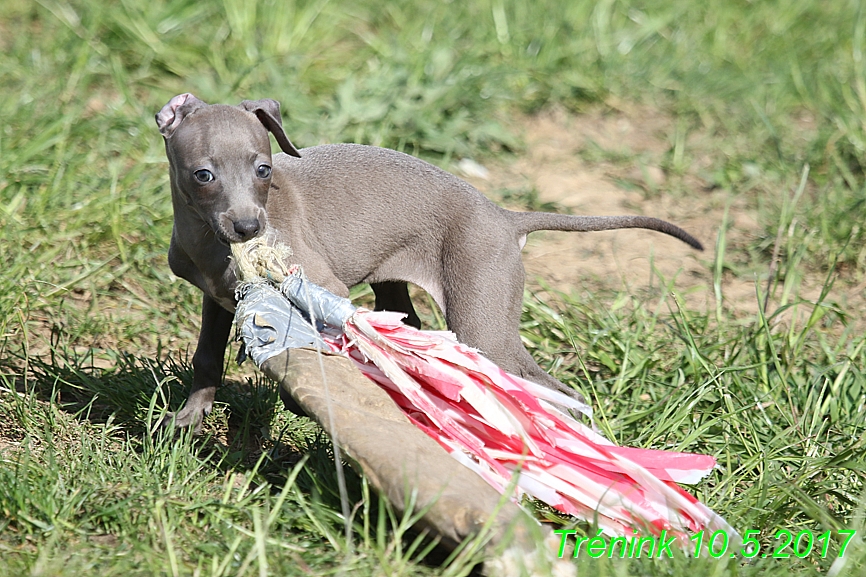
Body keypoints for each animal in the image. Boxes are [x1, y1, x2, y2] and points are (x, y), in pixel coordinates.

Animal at [155, 92, 700, 430]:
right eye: (203, 175)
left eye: (265, 169)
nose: (250, 229)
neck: (209, 242)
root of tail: (505, 217)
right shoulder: (216, 299)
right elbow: (206, 358)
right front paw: (188, 419)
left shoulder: (319, 282)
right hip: (409, 292)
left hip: (482, 318)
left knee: (550, 391)